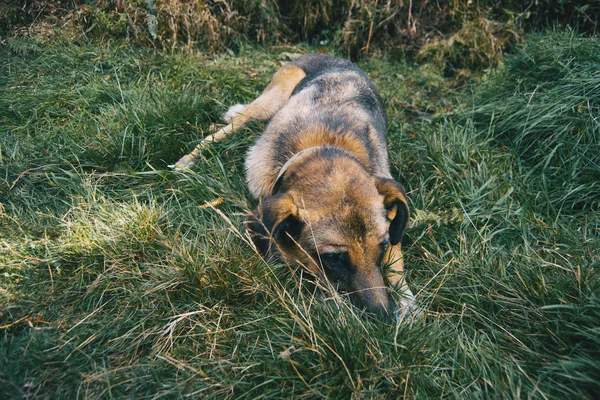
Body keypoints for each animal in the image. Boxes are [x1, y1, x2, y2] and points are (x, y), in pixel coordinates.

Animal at [173, 54, 418, 322]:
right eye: (334, 258)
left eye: (383, 246)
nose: (382, 318)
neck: (325, 146)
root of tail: (326, 55)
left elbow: (397, 261)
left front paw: (406, 300)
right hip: (269, 102)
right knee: (226, 128)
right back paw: (188, 159)